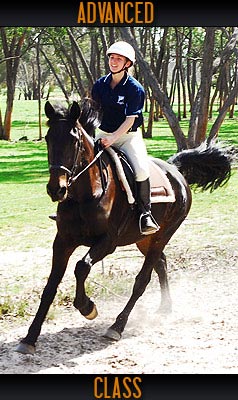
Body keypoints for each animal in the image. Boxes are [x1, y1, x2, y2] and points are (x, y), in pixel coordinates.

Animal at [16, 99, 234, 354]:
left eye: (74, 141)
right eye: (49, 138)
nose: (56, 189)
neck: (85, 195)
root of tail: (175, 171)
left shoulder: (107, 242)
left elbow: (81, 267)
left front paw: (87, 307)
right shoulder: (62, 241)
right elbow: (50, 287)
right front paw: (30, 338)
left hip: (162, 235)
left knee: (143, 279)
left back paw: (117, 326)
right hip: (143, 240)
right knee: (161, 264)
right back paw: (165, 307)